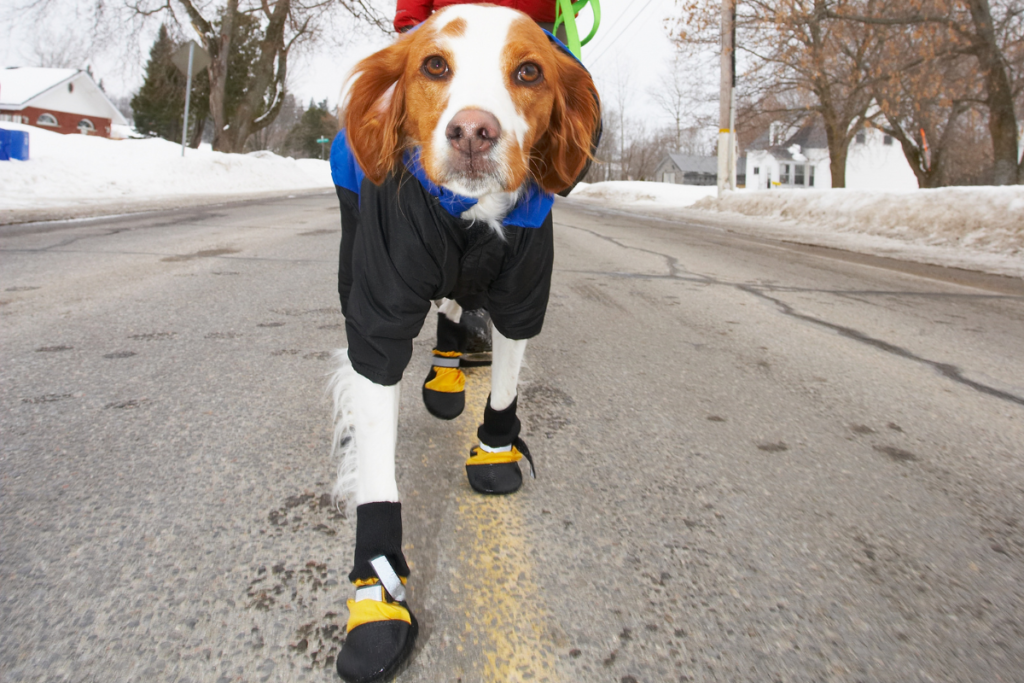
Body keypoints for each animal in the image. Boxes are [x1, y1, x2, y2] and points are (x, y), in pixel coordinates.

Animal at [327, 6, 598, 683]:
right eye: (433, 65)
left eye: (529, 71)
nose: (474, 131)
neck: (468, 219)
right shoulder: (382, 309)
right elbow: (376, 462)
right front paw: (378, 599)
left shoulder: (524, 290)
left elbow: (504, 387)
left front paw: (496, 449)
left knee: (453, 304)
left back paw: (448, 371)